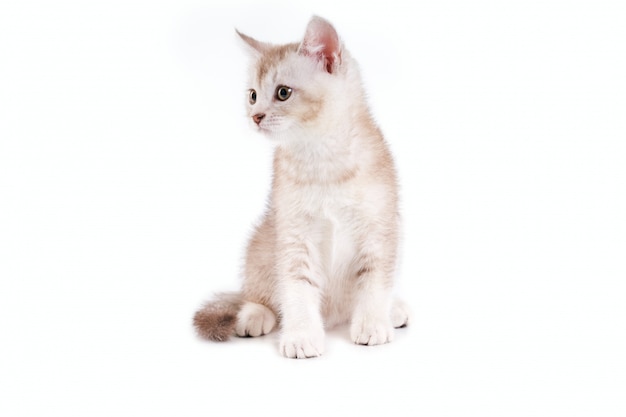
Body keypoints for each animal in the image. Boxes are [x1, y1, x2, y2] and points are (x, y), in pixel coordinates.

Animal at [195, 14, 410, 356]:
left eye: (283, 93)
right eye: (252, 95)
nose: (255, 116)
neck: (323, 160)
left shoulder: (381, 225)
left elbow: (375, 280)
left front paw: (372, 324)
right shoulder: (293, 232)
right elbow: (296, 287)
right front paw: (301, 336)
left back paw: (392, 309)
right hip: (263, 239)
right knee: (253, 293)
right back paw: (254, 315)